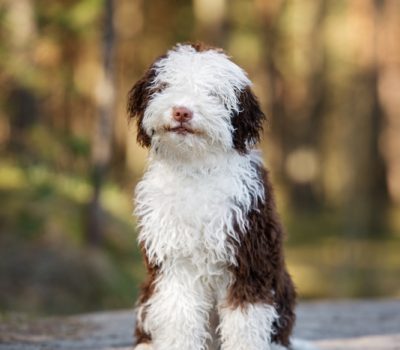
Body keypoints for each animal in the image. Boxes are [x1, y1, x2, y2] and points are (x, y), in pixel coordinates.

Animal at [128, 43, 316, 350]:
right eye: (166, 86)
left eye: (212, 93)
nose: (181, 112)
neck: (195, 168)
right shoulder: (173, 264)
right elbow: (178, 315)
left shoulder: (250, 259)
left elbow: (245, 321)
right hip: (148, 293)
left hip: (282, 287)